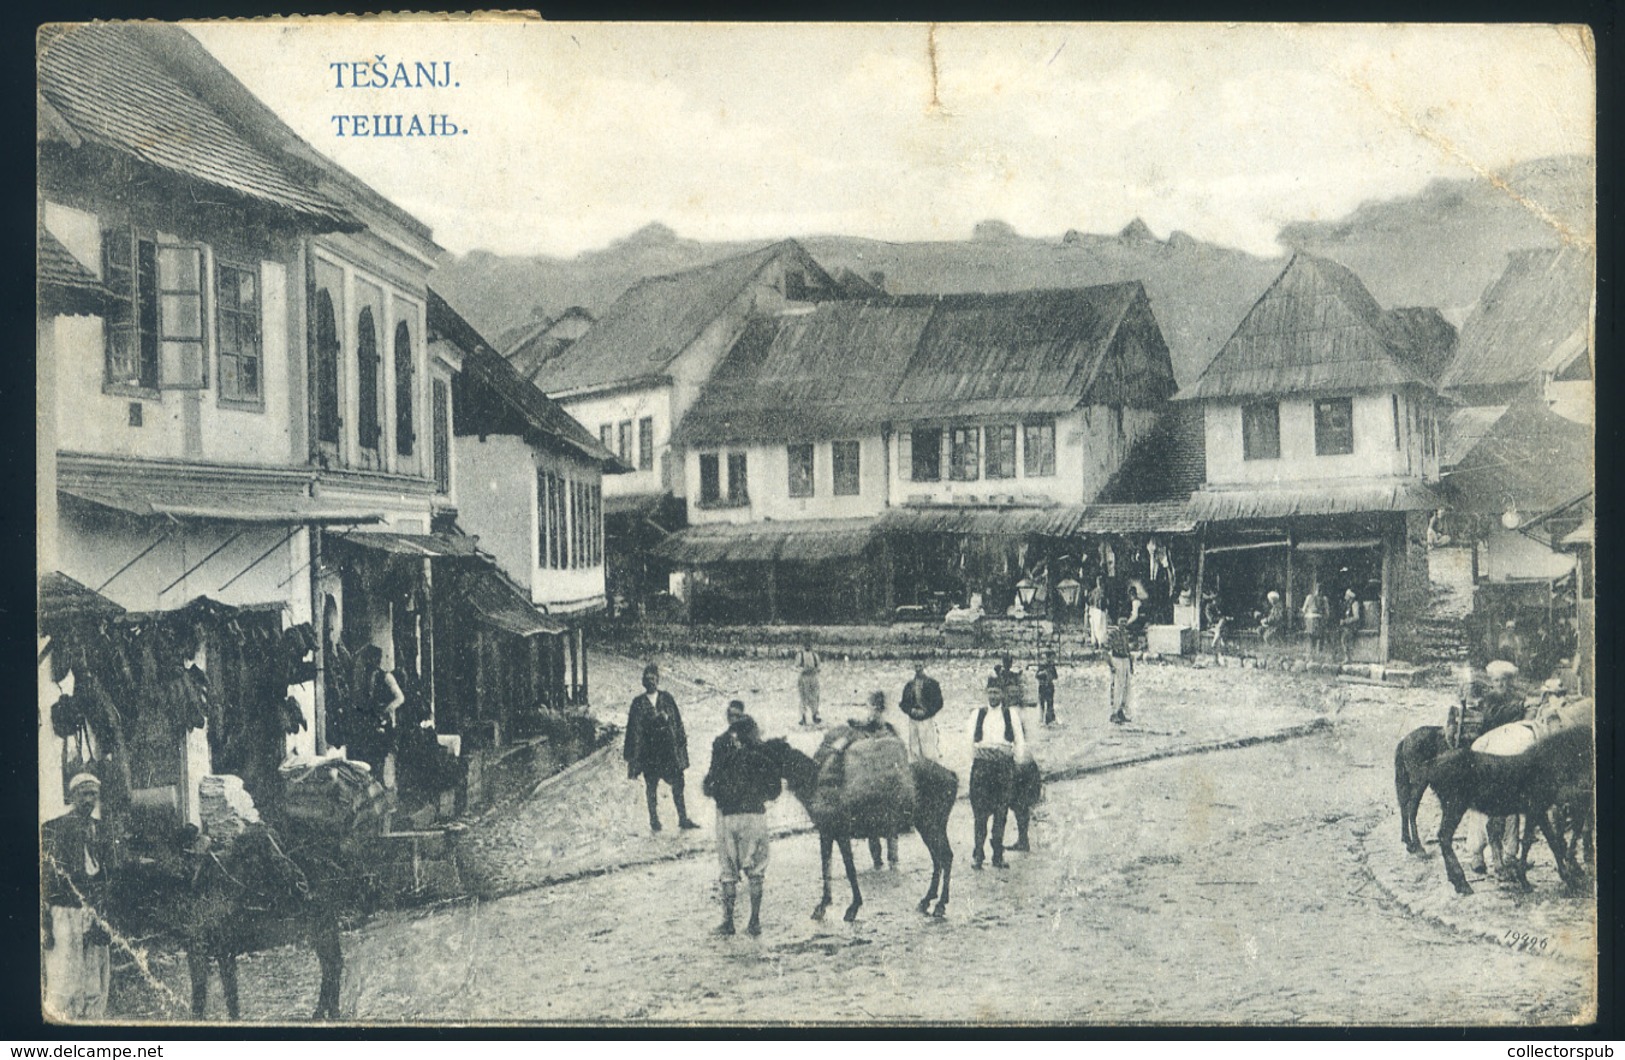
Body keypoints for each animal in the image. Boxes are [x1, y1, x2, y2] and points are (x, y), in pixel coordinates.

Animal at [757, 738, 955, 916]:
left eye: (766, 756)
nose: (767, 792)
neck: (815, 783)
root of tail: (953, 776)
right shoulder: (825, 833)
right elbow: (826, 867)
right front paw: (823, 904)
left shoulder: (841, 833)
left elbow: (849, 868)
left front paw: (853, 907)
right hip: (928, 825)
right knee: (939, 858)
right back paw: (927, 900)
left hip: (932, 824)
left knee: (945, 856)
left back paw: (940, 904)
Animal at [1430, 721, 1592, 897]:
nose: (1587, 788)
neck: (1544, 766)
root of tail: (1433, 767)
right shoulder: (1537, 808)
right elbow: (1544, 841)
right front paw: (1565, 879)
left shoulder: (1535, 811)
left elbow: (1537, 841)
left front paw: (1529, 879)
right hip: (1455, 805)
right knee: (1445, 837)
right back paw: (1463, 883)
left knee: (1444, 838)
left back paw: (1457, 881)